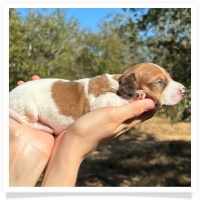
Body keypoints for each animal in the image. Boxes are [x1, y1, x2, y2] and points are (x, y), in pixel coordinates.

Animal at [9, 62, 186, 134]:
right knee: (27, 121)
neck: (118, 81)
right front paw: (137, 96)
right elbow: (115, 98)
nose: (184, 90)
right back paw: (45, 127)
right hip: (27, 107)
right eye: (160, 82)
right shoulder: (99, 100)